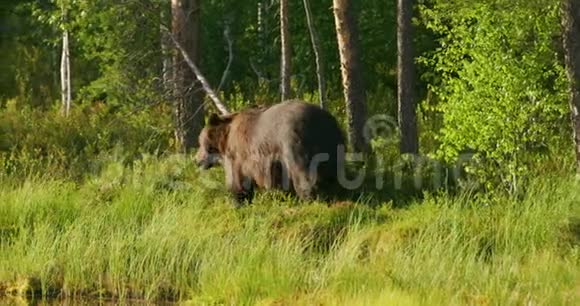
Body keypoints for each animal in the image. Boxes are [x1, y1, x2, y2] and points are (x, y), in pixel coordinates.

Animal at [195, 100, 348, 206]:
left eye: (199, 142)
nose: (196, 160)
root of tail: (323, 121)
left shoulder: (238, 156)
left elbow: (237, 181)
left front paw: (238, 201)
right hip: (333, 145)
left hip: (294, 144)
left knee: (304, 175)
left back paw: (311, 199)